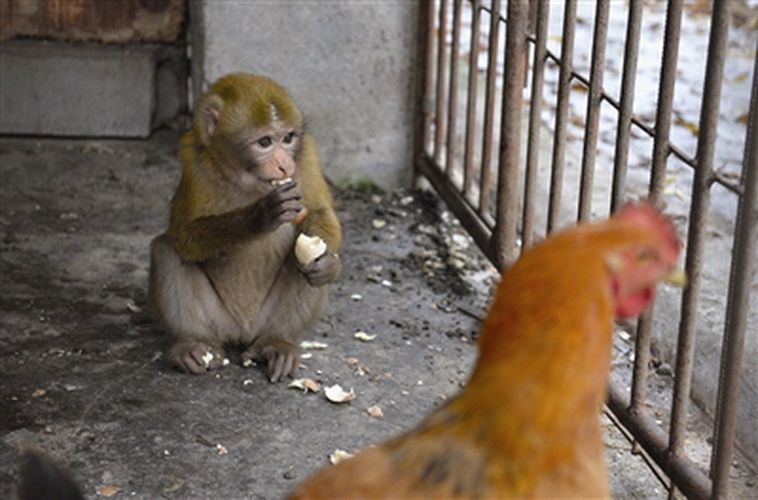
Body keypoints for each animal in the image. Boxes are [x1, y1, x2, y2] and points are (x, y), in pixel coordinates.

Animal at [148, 72, 342, 380]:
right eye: (264, 142)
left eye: (288, 138)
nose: (285, 166)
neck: (247, 179)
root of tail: (243, 330)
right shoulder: (193, 160)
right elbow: (184, 238)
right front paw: (259, 216)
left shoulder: (306, 152)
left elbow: (320, 213)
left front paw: (327, 263)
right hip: (218, 321)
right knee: (166, 250)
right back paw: (193, 345)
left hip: (265, 320)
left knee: (299, 268)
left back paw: (277, 343)